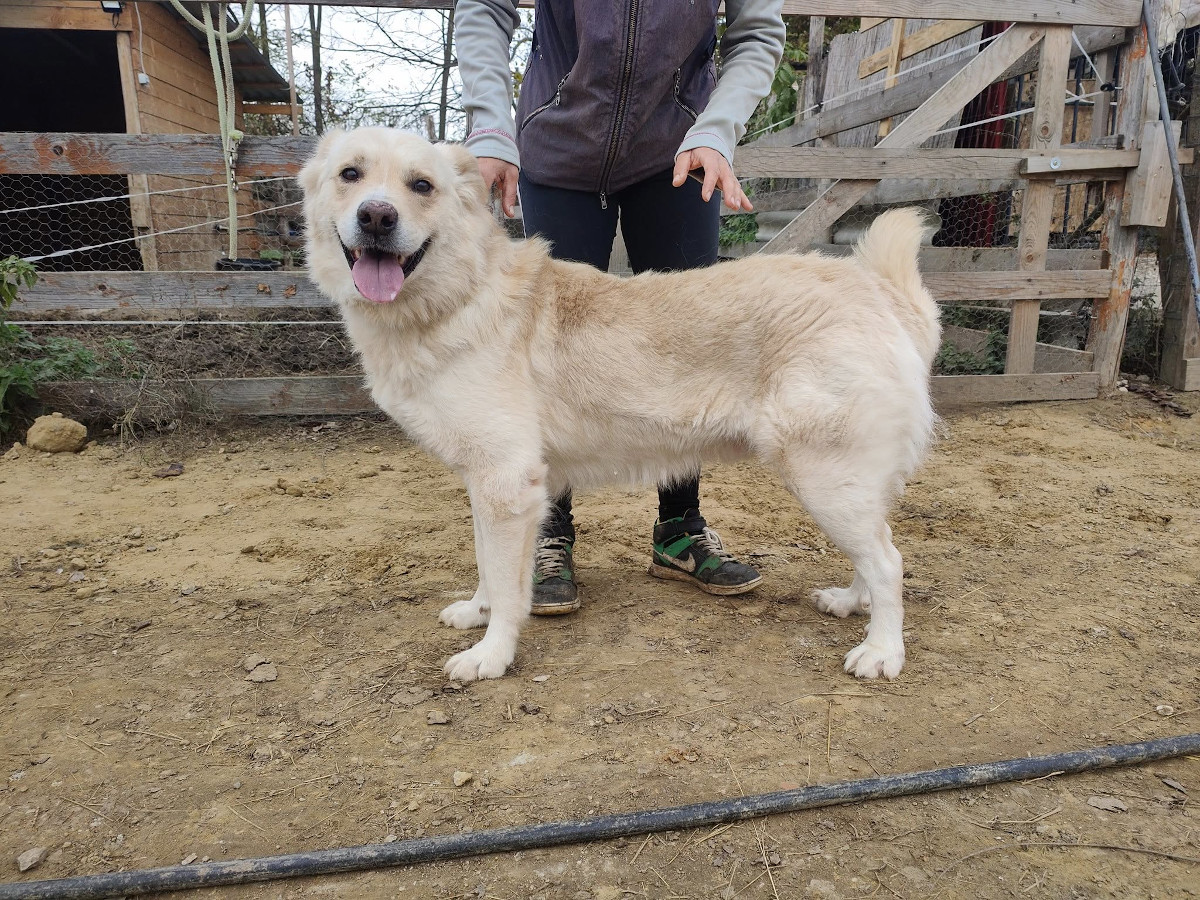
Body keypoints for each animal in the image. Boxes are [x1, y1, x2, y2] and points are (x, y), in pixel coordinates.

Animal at [299, 127, 940, 683]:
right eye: (351, 174)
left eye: (421, 185)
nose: (376, 216)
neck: (463, 293)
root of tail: (876, 291)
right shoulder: (486, 484)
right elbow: (486, 563)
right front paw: (476, 613)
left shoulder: (507, 482)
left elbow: (508, 586)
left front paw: (491, 655)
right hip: (845, 484)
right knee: (876, 551)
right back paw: (850, 603)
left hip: (824, 477)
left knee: (889, 561)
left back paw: (882, 652)